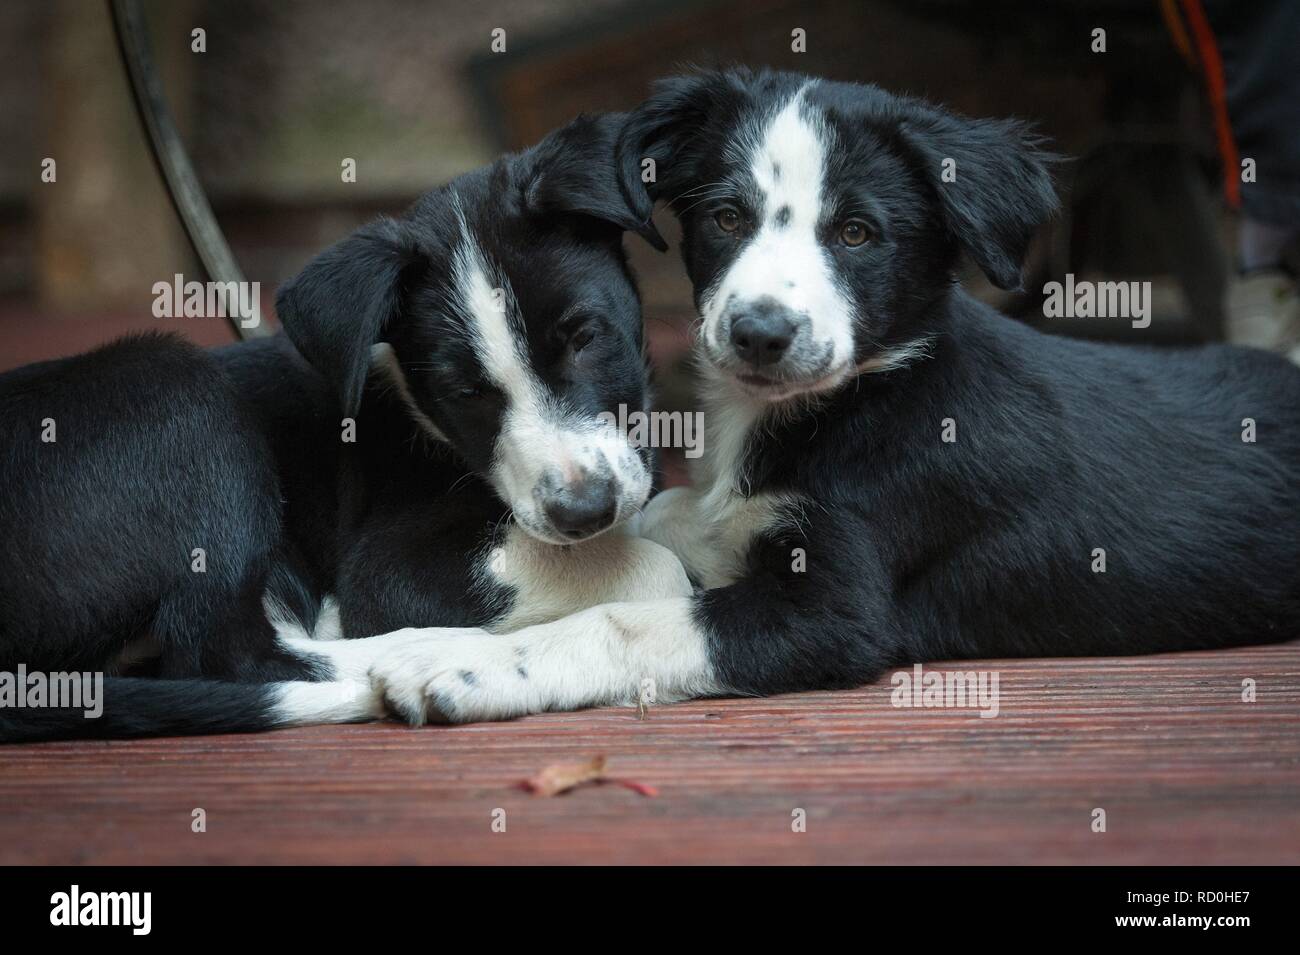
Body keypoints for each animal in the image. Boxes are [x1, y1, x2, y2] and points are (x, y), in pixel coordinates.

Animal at [0, 110, 686, 738]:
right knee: (227, 654)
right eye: (462, 391)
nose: (584, 511)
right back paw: (409, 658)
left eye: (586, 337)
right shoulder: (393, 569)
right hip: (179, 397)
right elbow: (657, 567)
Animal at [356, 67, 1300, 722]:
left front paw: (456, 665)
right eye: (727, 217)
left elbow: (628, 622)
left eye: (856, 233)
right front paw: (417, 640)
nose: (760, 332)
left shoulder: (836, 612)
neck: (851, 404)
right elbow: (663, 528)